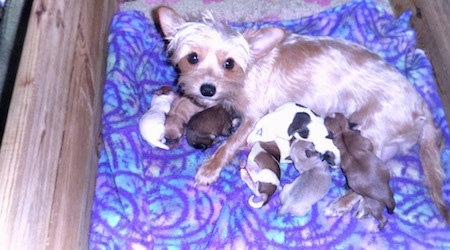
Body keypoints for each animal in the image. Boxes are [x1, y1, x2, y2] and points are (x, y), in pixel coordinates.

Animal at [156, 5, 450, 222]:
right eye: (192, 58)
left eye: (229, 63)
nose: (207, 89)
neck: (248, 70)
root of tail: (421, 106)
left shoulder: (253, 118)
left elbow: (228, 145)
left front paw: (210, 168)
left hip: (371, 134)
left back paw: (345, 202)